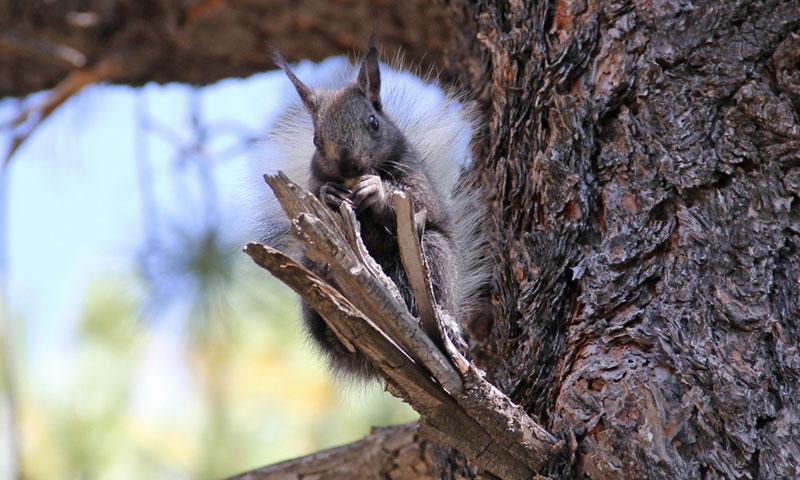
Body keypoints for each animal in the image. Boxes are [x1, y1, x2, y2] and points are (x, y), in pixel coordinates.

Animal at [256, 35, 487, 379]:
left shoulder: (415, 174)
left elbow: (420, 203)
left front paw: (376, 190)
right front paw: (329, 193)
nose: (348, 164)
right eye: (316, 139)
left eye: (373, 122)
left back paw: (447, 322)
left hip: (433, 257)